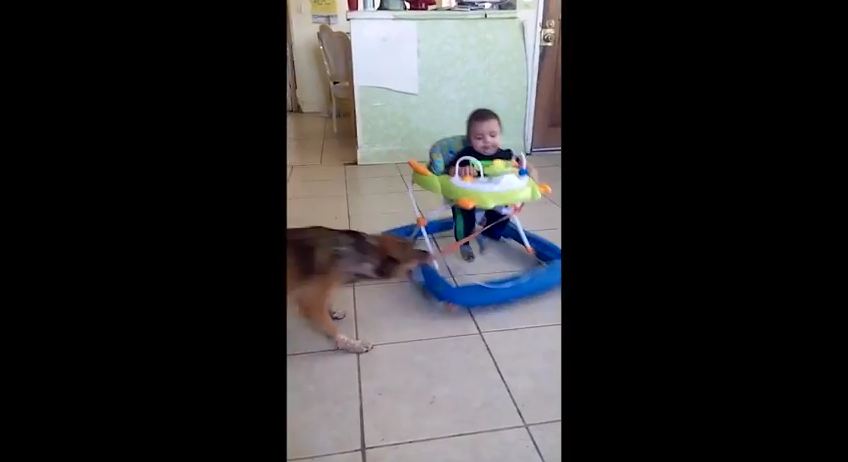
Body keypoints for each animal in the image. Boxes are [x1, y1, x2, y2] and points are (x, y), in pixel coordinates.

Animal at [288, 227, 430, 354]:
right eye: (413, 255)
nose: (427, 253)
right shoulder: (311, 301)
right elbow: (332, 329)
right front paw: (354, 345)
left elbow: (326, 304)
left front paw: (333, 312)